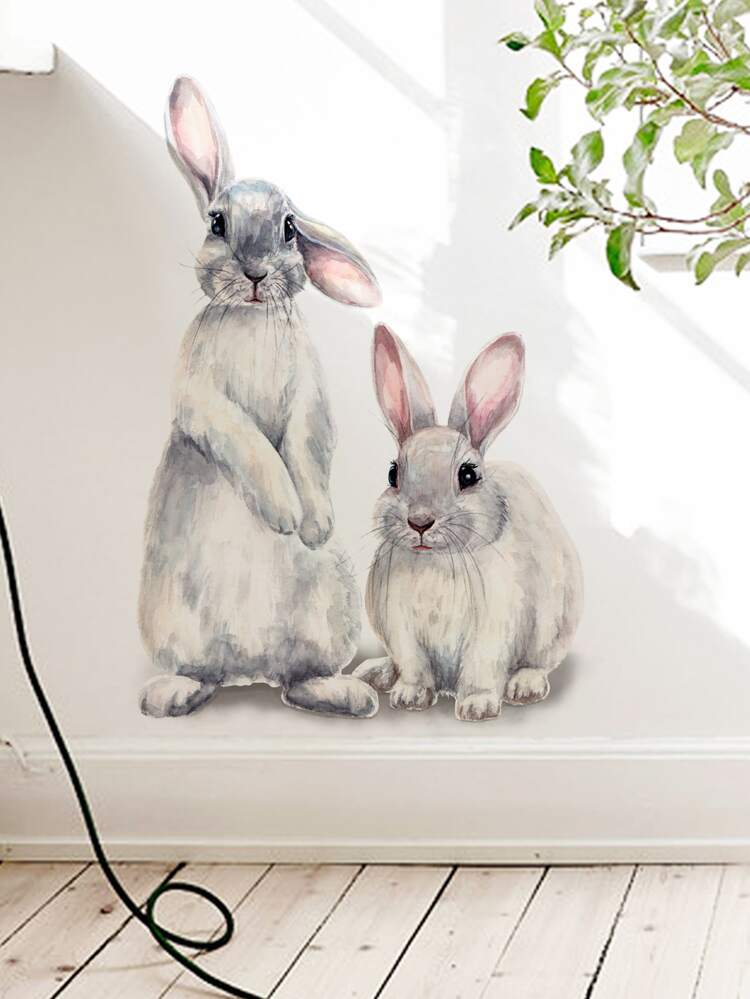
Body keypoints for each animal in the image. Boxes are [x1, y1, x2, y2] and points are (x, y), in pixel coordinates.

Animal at [139, 77, 382, 719]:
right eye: (217, 223)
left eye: (290, 228)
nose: (253, 273)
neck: (250, 320)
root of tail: (249, 672)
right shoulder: (203, 398)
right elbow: (246, 442)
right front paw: (283, 514)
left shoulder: (309, 398)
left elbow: (305, 445)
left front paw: (313, 525)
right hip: (174, 623)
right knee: (203, 672)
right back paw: (170, 696)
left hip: (328, 617)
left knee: (298, 680)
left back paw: (347, 694)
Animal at [354, 324, 583, 721]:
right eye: (393, 473)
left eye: (468, 474)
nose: (420, 522)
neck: (435, 561)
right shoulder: (402, 629)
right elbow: (414, 666)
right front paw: (411, 697)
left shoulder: (493, 630)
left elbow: (481, 669)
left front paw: (477, 707)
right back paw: (375, 673)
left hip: (555, 625)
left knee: (538, 662)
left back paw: (525, 686)